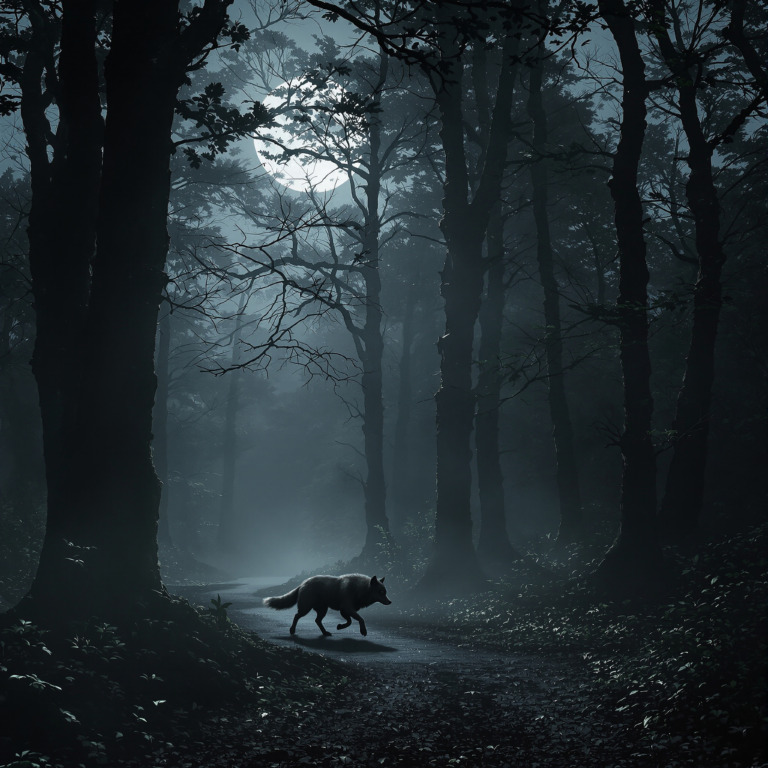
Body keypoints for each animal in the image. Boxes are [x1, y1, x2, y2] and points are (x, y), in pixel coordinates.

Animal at [264, 572, 392, 640]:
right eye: (381, 592)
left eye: (385, 592)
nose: (390, 602)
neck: (359, 589)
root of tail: (303, 583)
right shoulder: (347, 609)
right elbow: (361, 619)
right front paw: (363, 631)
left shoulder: (344, 611)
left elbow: (350, 622)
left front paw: (340, 626)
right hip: (306, 609)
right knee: (296, 616)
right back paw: (292, 630)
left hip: (323, 610)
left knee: (317, 621)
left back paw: (325, 633)